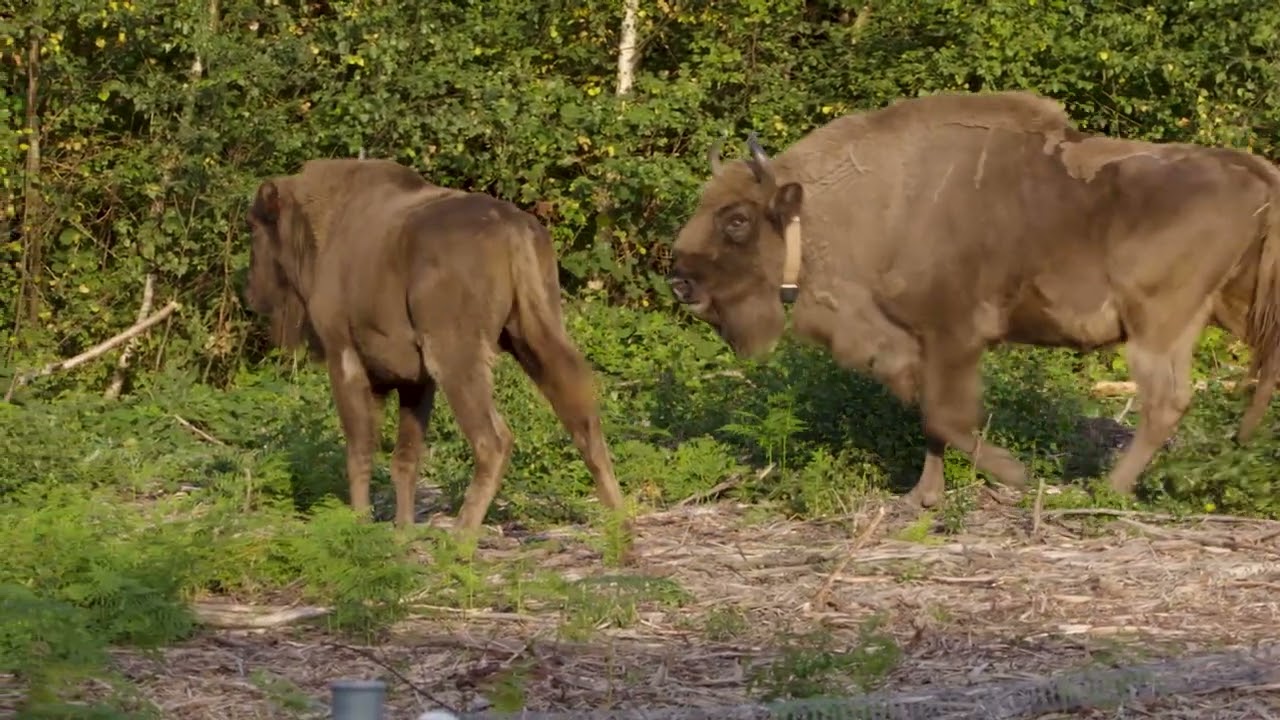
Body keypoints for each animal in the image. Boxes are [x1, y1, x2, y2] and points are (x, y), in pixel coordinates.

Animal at [244, 158, 633, 558]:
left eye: (254, 228)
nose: (251, 292)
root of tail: (514, 229)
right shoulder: (415, 382)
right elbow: (405, 457)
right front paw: (401, 532)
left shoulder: (346, 358)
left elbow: (360, 451)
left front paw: (360, 525)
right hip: (535, 333)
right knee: (582, 418)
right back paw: (622, 537)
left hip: (457, 357)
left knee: (494, 439)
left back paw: (460, 539)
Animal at [667, 90, 1280, 507]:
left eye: (737, 219)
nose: (680, 282)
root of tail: (1247, 167)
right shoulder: (914, 343)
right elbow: (929, 416)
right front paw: (924, 496)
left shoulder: (952, 335)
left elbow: (946, 415)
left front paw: (1016, 475)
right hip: (1227, 308)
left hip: (1158, 324)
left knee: (1165, 402)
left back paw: (1106, 488)